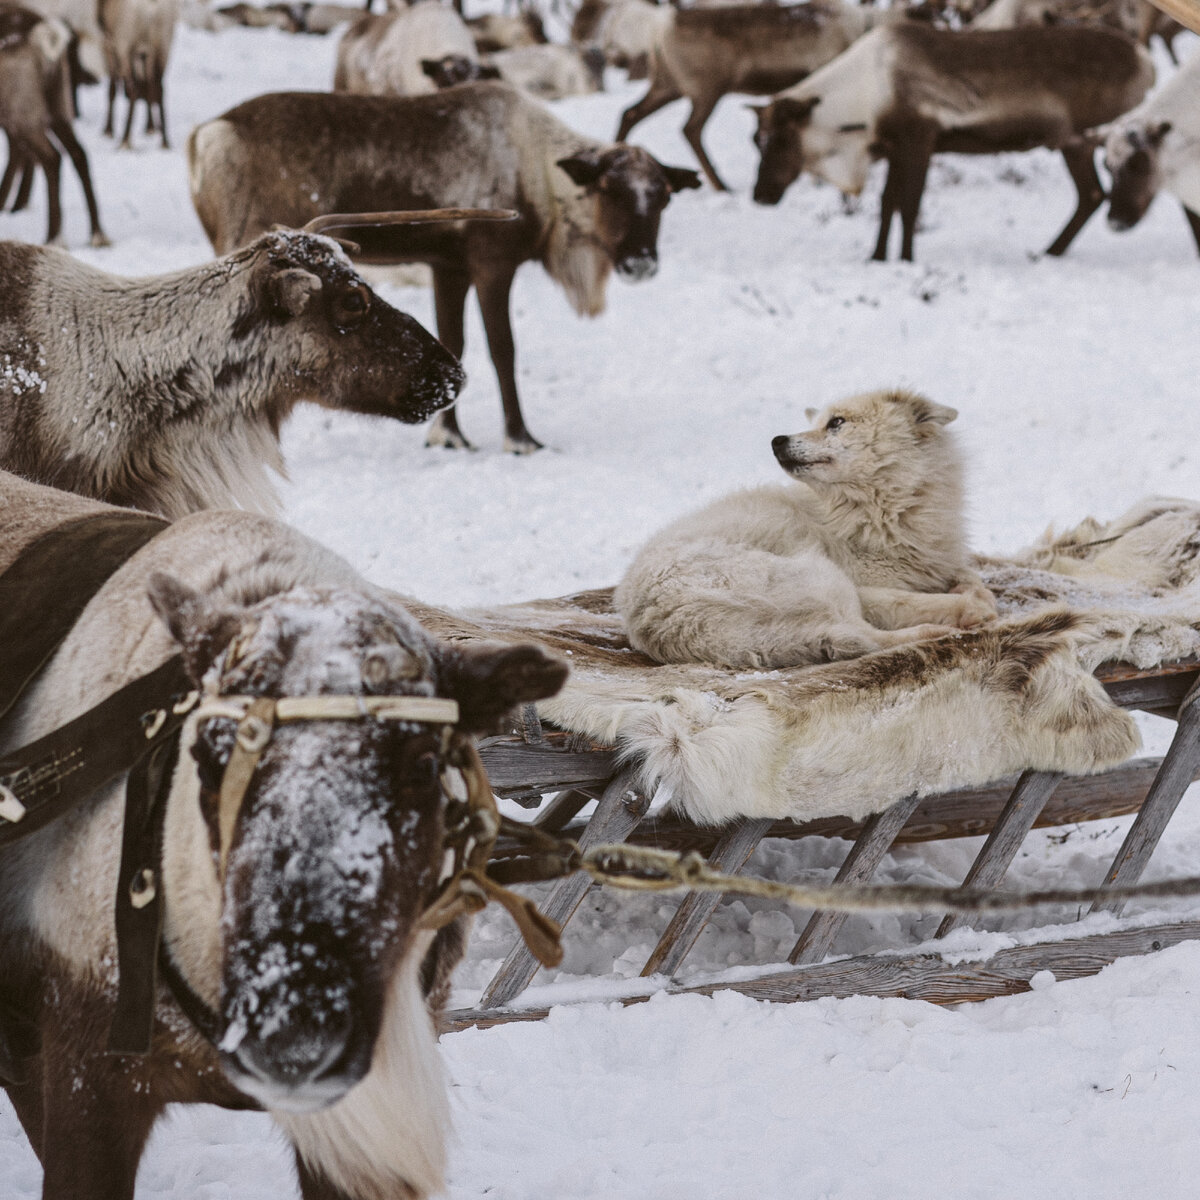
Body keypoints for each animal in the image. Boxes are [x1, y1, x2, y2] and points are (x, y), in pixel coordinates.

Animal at [614, 391, 998, 667]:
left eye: (836, 422)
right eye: (821, 421)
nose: (777, 440)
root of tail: (655, 621)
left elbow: (966, 575)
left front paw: (967, 586)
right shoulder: (866, 585)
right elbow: (910, 599)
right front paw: (970, 604)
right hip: (824, 577)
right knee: (866, 636)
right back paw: (943, 627)